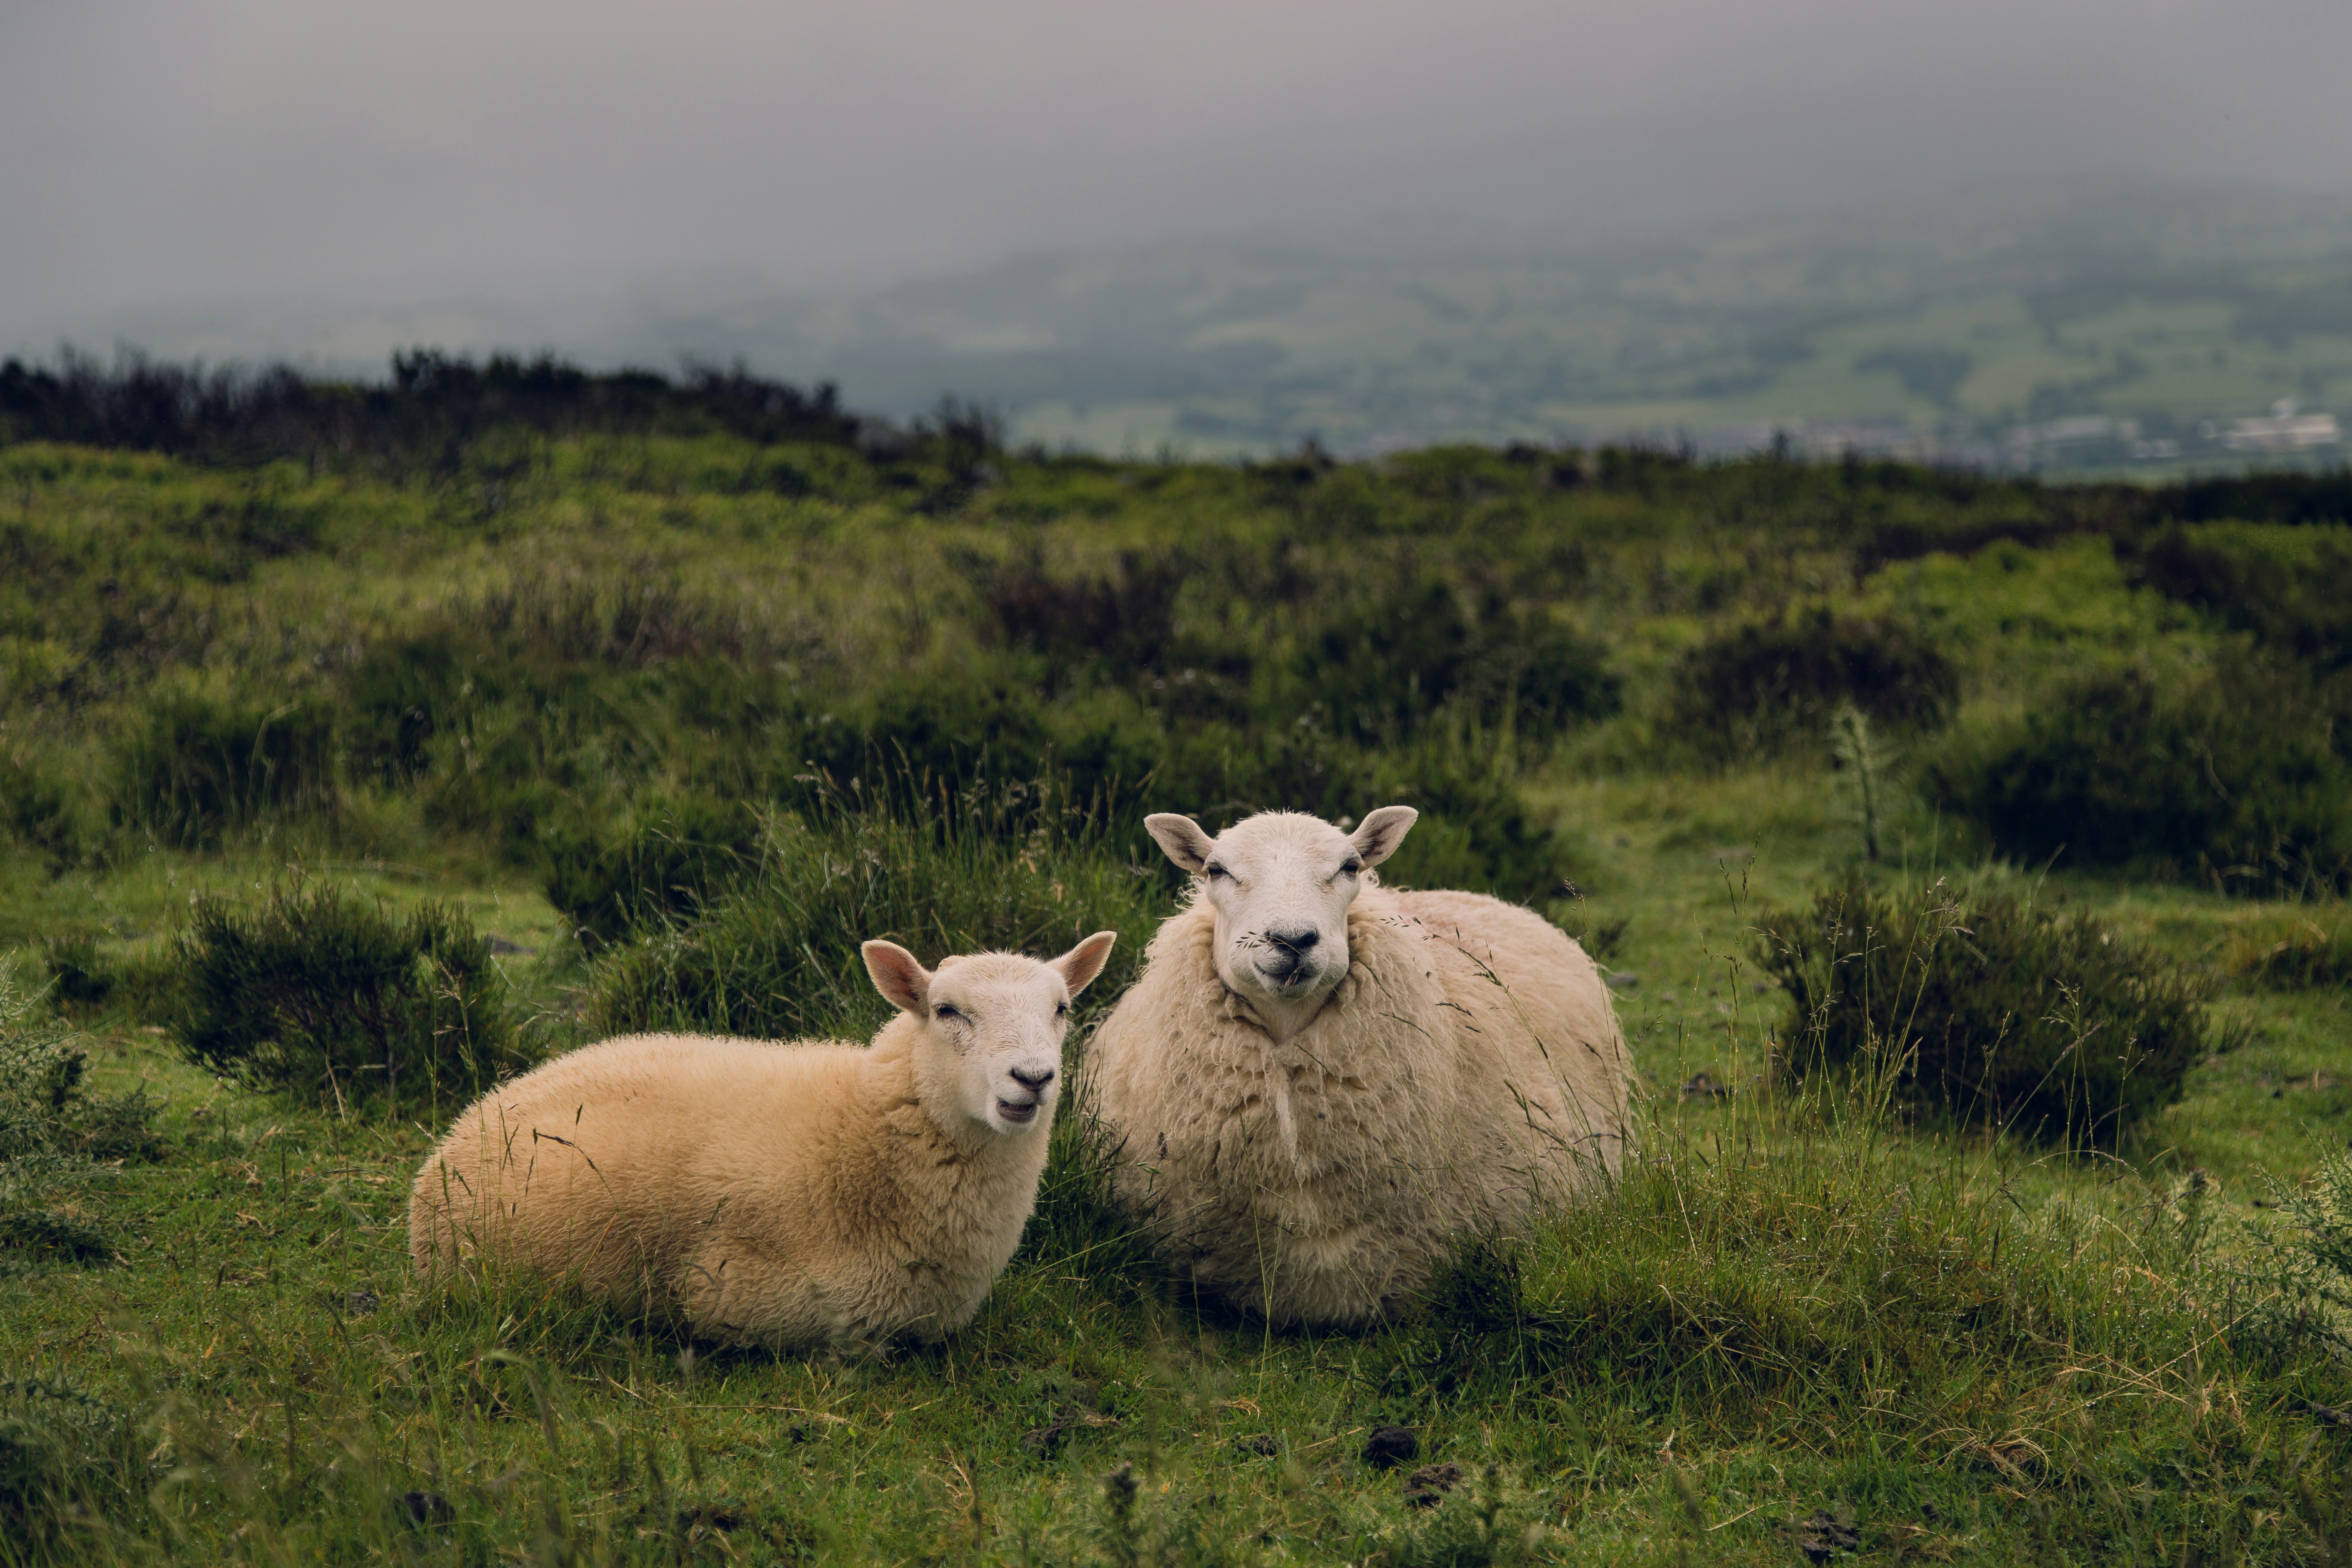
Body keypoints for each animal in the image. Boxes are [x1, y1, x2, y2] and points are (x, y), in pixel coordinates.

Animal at [408, 931, 1118, 1352]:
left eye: (1061, 1009)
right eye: (946, 1011)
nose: (1033, 1078)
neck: (863, 1133)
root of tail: (470, 1121)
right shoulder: (748, 1298)